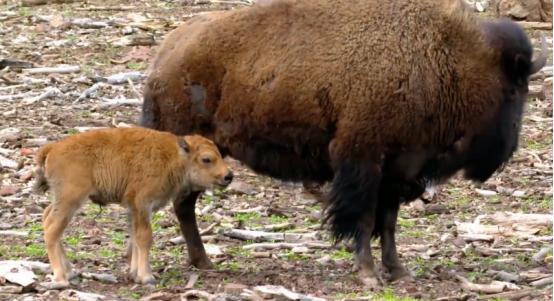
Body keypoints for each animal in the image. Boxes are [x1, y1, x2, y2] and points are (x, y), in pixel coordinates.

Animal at [34, 126, 233, 286]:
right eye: (206, 159)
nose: (228, 176)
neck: (175, 156)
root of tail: (53, 148)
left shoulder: (135, 209)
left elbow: (136, 238)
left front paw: (136, 275)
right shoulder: (142, 204)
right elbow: (145, 237)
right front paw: (147, 277)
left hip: (62, 199)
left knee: (47, 217)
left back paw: (70, 272)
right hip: (71, 199)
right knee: (52, 229)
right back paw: (61, 278)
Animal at [138, 0, 544, 288]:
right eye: (512, 89)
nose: (506, 150)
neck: (443, 57)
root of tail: (165, 55)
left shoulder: (397, 171)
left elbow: (389, 222)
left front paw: (398, 270)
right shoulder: (362, 162)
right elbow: (362, 218)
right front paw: (368, 274)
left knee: (183, 206)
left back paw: (203, 262)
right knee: (179, 205)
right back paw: (200, 261)